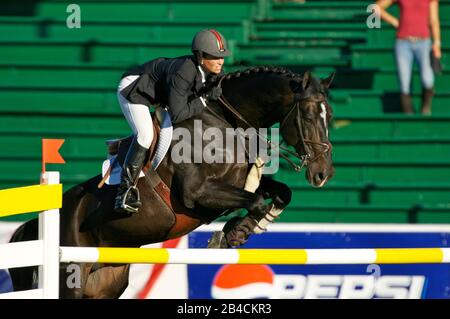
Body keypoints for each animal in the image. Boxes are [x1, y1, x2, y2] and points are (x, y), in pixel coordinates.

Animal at [8, 66, 336, 298]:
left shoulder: (242, 184)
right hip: (71, 277)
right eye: (308, 115)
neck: (225, 124)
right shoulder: (197, 195)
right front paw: (228, 236)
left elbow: (280, 194)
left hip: (105, 282)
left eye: (329, 115)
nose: (324, 173)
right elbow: (255, 201)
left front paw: (242, 232)